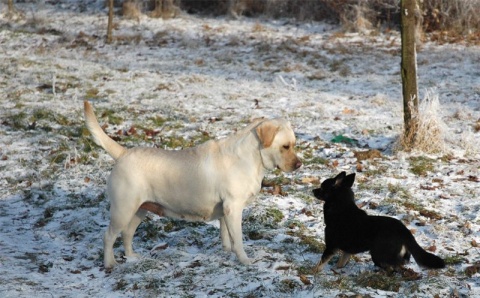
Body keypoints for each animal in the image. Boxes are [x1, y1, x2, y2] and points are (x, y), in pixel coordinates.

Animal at [314, 172, 444, 272]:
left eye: (322, 187)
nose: (313, 190)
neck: (341, 208)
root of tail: (404, 230)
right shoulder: (347, 251)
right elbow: (340, 263)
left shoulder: (331, 247)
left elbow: (320, 263)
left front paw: (312, 273)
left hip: (378, 254)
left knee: (394, 266)